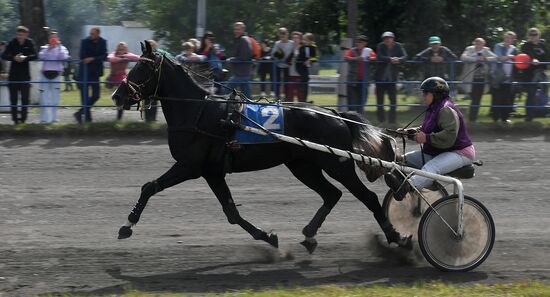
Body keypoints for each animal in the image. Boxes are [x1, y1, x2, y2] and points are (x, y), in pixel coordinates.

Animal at [112, 40, 412, 251]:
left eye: (142, 68)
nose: (116, 96)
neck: (198, 112)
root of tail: (336, 115)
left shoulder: (191, 166)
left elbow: (149, 186)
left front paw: (127, 225)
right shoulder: (212, 172)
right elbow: (231, 212)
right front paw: (268, 236)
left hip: (337, 165)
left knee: (367, 197)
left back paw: (396, 237)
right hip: (302, 166)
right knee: (331, 195)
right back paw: (310, 234)